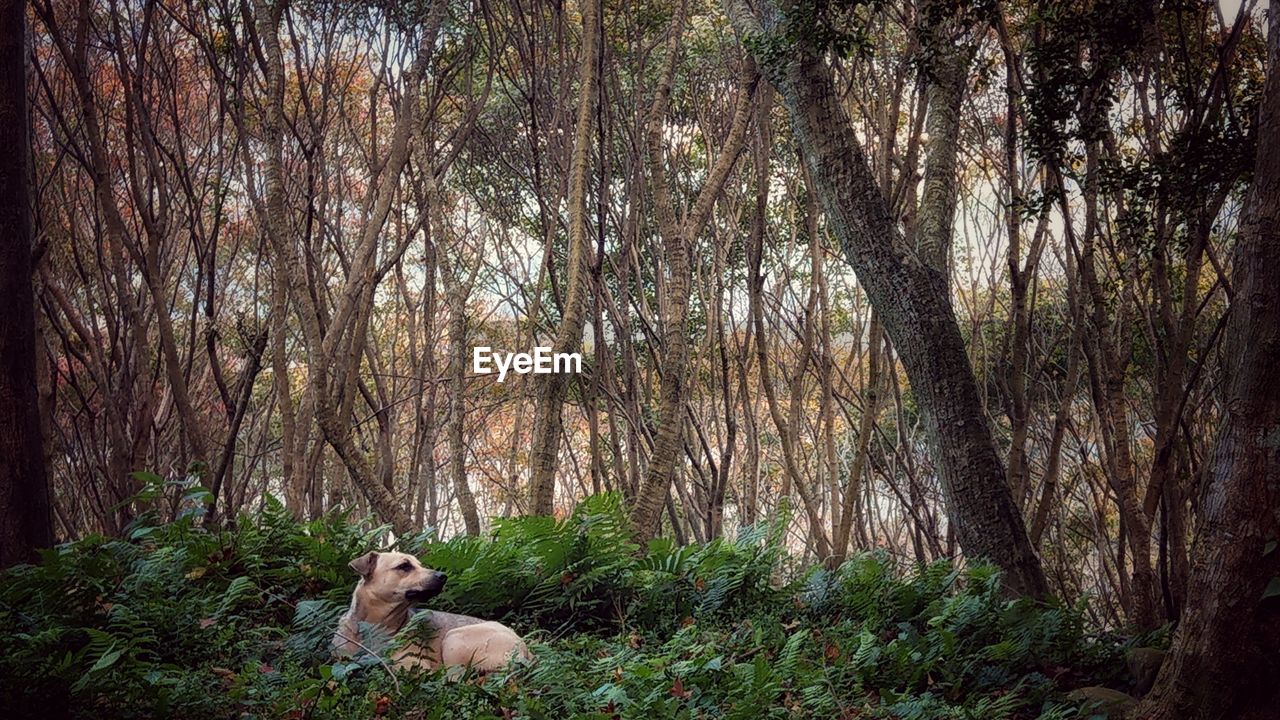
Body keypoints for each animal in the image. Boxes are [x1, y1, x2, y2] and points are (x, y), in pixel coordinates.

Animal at [332, 548, 532, 671]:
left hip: (454, 639)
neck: (375, 627)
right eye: (404, 566)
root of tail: (524, 648)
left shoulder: (414, 666)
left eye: (420, 564)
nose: (443, 576)